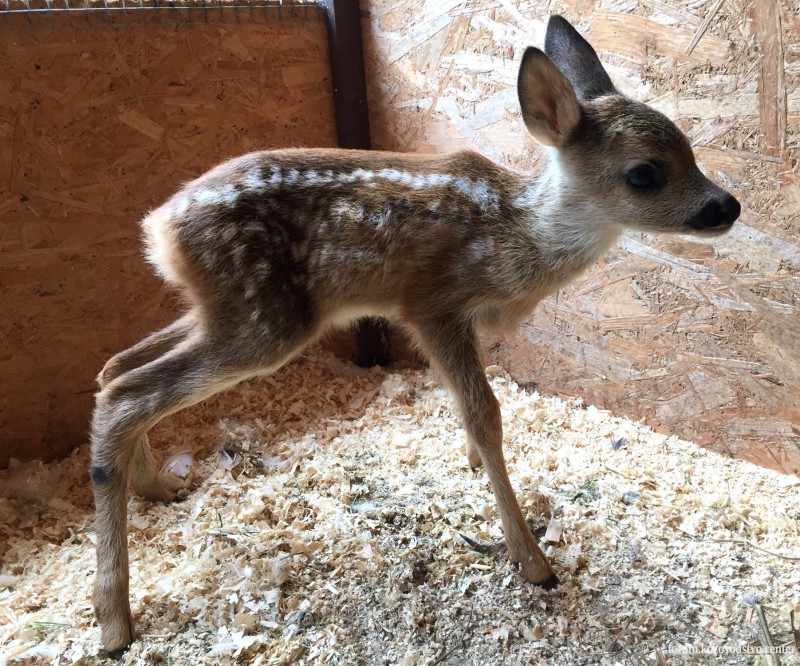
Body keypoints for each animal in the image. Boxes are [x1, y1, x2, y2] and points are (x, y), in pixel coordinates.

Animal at [89, 14, 740, 652]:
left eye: (690, 147)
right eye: (645, 174)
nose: (727, 206)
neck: (518, 239)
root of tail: (158, 229)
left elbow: (465, 405)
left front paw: (473, 467)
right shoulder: (431, 303)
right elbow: (484, 411)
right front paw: (532, 561)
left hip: (224, 309)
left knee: (114, 367)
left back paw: (157, 490)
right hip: (263, 318)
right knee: (127, 391)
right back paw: (115, 623)